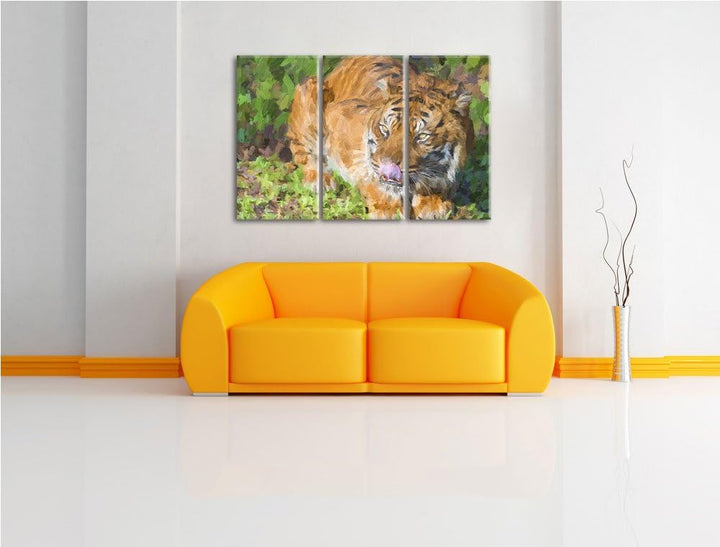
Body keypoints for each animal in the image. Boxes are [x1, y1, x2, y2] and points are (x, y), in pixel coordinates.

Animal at [287, 56, 473, 219]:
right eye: (385, 129)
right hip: (309, 91)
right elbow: (371, 176)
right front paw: (388, 209)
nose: (388, 166)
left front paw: (433, 204)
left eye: (421, 137)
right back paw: (319, 181)